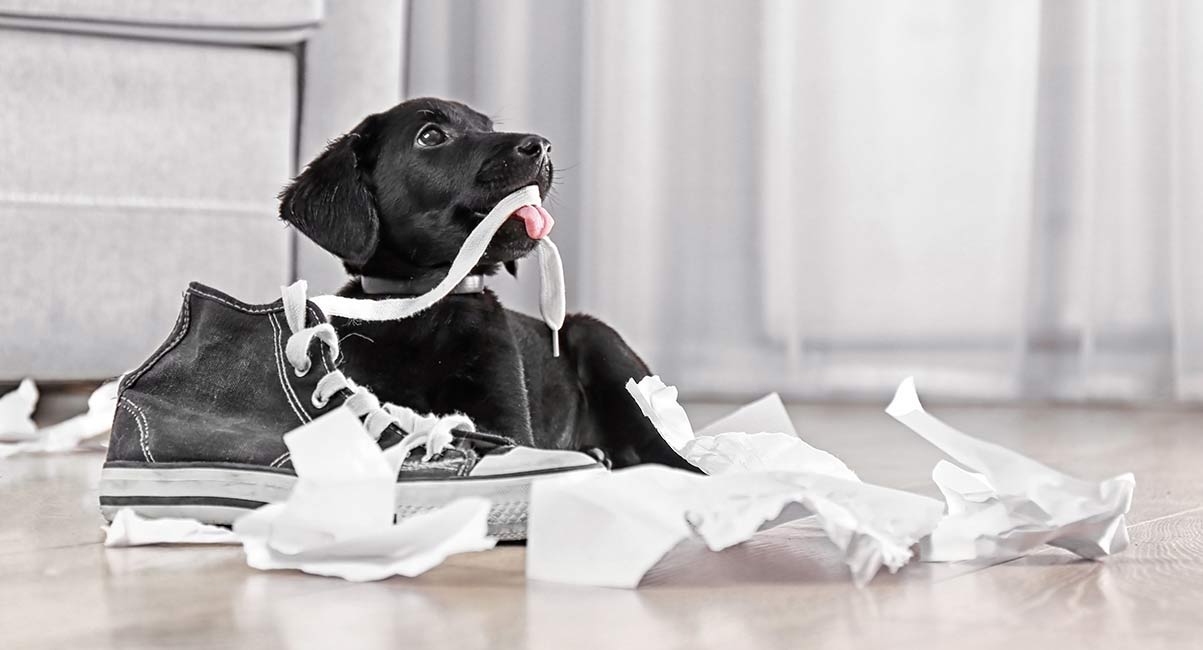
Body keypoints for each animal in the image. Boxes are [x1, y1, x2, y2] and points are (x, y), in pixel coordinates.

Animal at [280, 96, 692, 469]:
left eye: (487, 128)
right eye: (431, 136)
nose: (543, 147)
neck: (429, 304)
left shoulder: (504, 419)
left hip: (602, 348)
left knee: (664, 449)